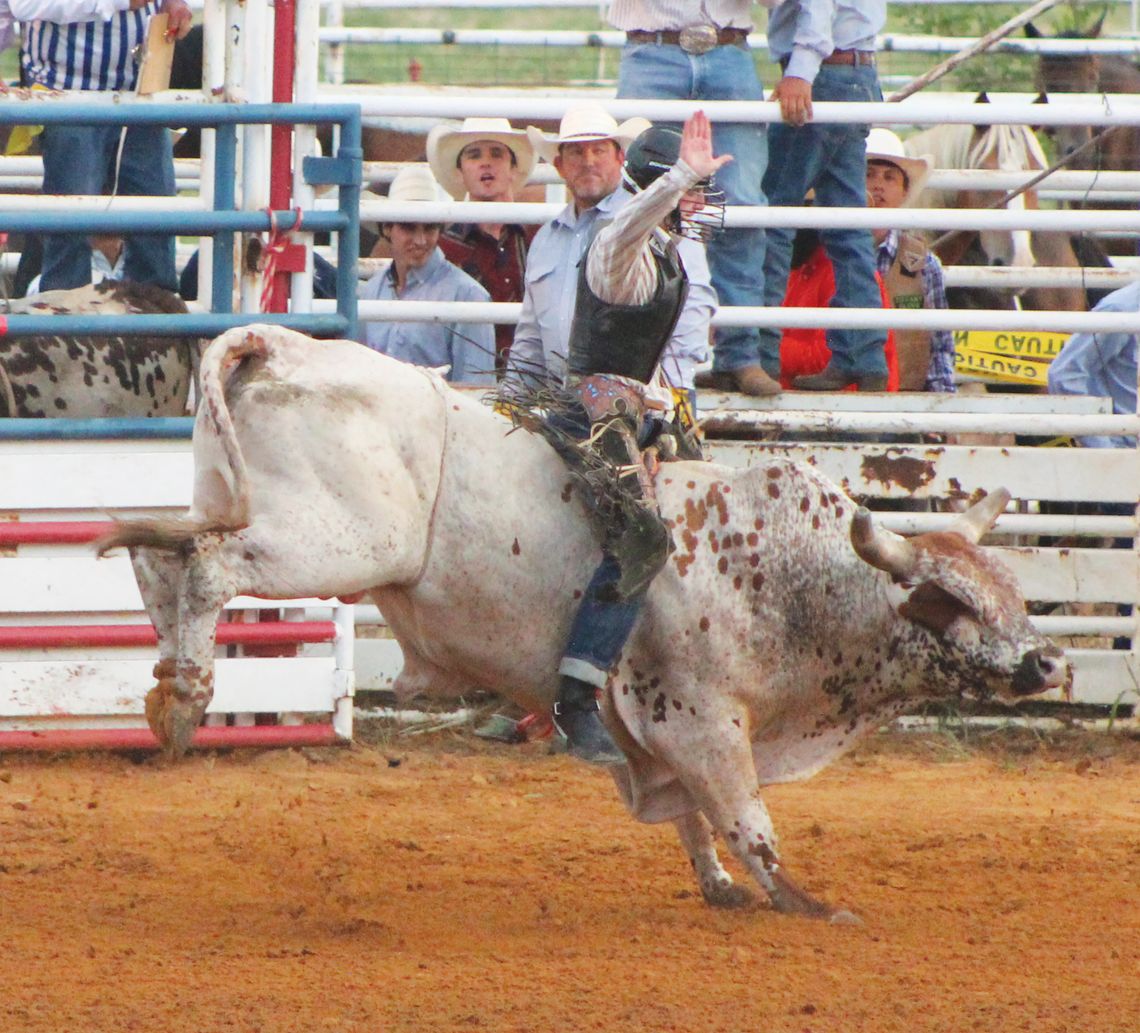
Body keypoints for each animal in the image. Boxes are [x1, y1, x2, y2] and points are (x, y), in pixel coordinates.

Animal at [98, 321, 1067, 916]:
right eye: (950, 602)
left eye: (1013, 593)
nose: (1049, 663)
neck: (784, 571)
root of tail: (282, 341)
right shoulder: (703, 715)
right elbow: (745, 815)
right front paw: (809, 904)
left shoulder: (656, 730)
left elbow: (692, 814)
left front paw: (720, 886)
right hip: (341, 543)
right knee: (211, 565)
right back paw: (188, 699)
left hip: (230, 496)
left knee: (160, 552)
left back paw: (167, 688)